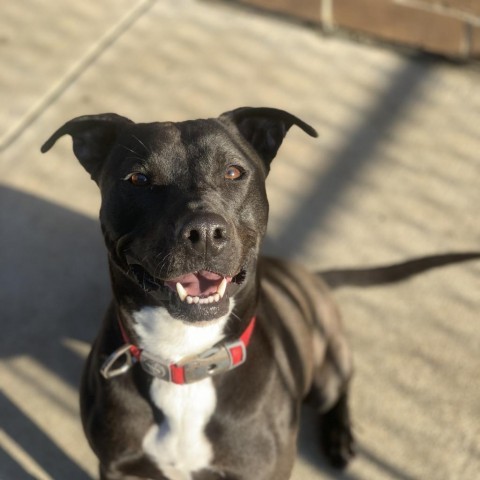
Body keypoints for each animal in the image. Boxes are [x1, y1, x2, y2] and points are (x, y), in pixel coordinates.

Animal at [42, 109, 480, 480]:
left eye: (234, 172)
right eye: (138, 180)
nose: (204, 232)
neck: (185, 362)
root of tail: (308, 276)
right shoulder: (119, 467)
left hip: (326, 369)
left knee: (342, 386)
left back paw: (339, 437)